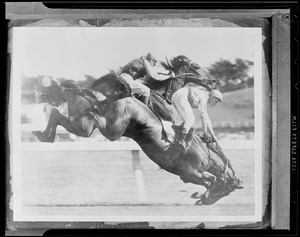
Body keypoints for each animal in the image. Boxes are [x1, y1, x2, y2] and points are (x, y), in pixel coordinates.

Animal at [32, 73, 243, 205]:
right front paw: (201, 194)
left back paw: (44, 134)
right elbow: (211, 180)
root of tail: (123, 94)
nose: (206, 203)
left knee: (59, 113)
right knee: (84, 115)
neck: (206, 154)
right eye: (227, 191)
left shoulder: (187, 176)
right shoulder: (191, 173)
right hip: (111, 130)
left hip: (87, 125)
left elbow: (210, 181)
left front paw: (199, 195)